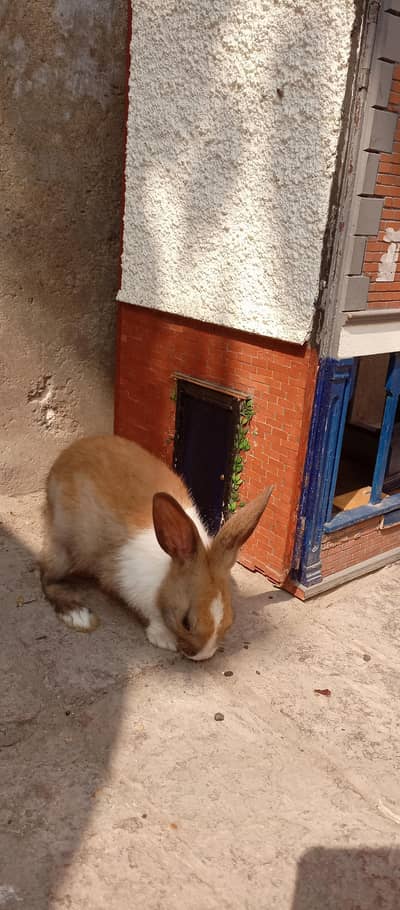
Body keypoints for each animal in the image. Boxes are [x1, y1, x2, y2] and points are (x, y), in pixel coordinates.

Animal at [40, 435, 273, 661]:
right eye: (186, 622)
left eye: (230, 621)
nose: (202, 656)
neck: (166, 573)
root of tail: (60, 461)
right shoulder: (130, 584)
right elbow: (151, 615)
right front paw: (164, 639)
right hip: (63, 549)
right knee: (47, 577)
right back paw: (78, 616)